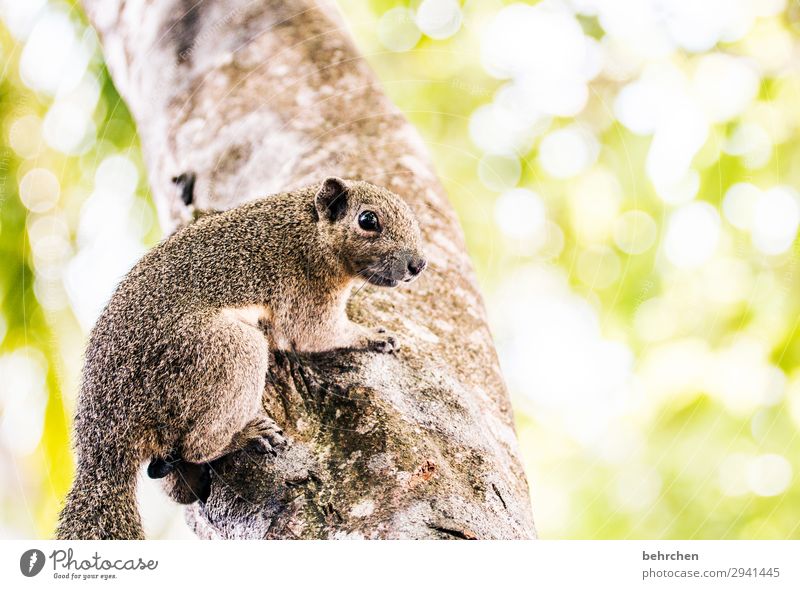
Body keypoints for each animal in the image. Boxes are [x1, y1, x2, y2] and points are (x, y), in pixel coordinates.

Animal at [54, 178, 424, 536]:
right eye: (368, 220)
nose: (418, 265)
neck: (310, 228)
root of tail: (107, 437)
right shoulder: (308, 289)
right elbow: (314, 333)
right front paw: (373, 336)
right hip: (224, 351)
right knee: (196, 445)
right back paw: (245, 435)